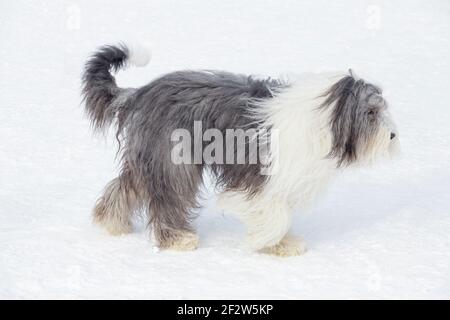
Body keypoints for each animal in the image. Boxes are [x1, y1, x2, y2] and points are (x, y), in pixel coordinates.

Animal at [81, 43, 398, 258]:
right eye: (371, 112)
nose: (394, 135)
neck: (324, 117)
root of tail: (139, 93)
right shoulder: (258, 179)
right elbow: (273, 213)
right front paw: (264, 240)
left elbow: (279, 210)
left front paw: (281, 244)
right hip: (174, 160)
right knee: (168, 197)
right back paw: (179, 240)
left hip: (149, 156)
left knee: (126, 186)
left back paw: (111, 223)